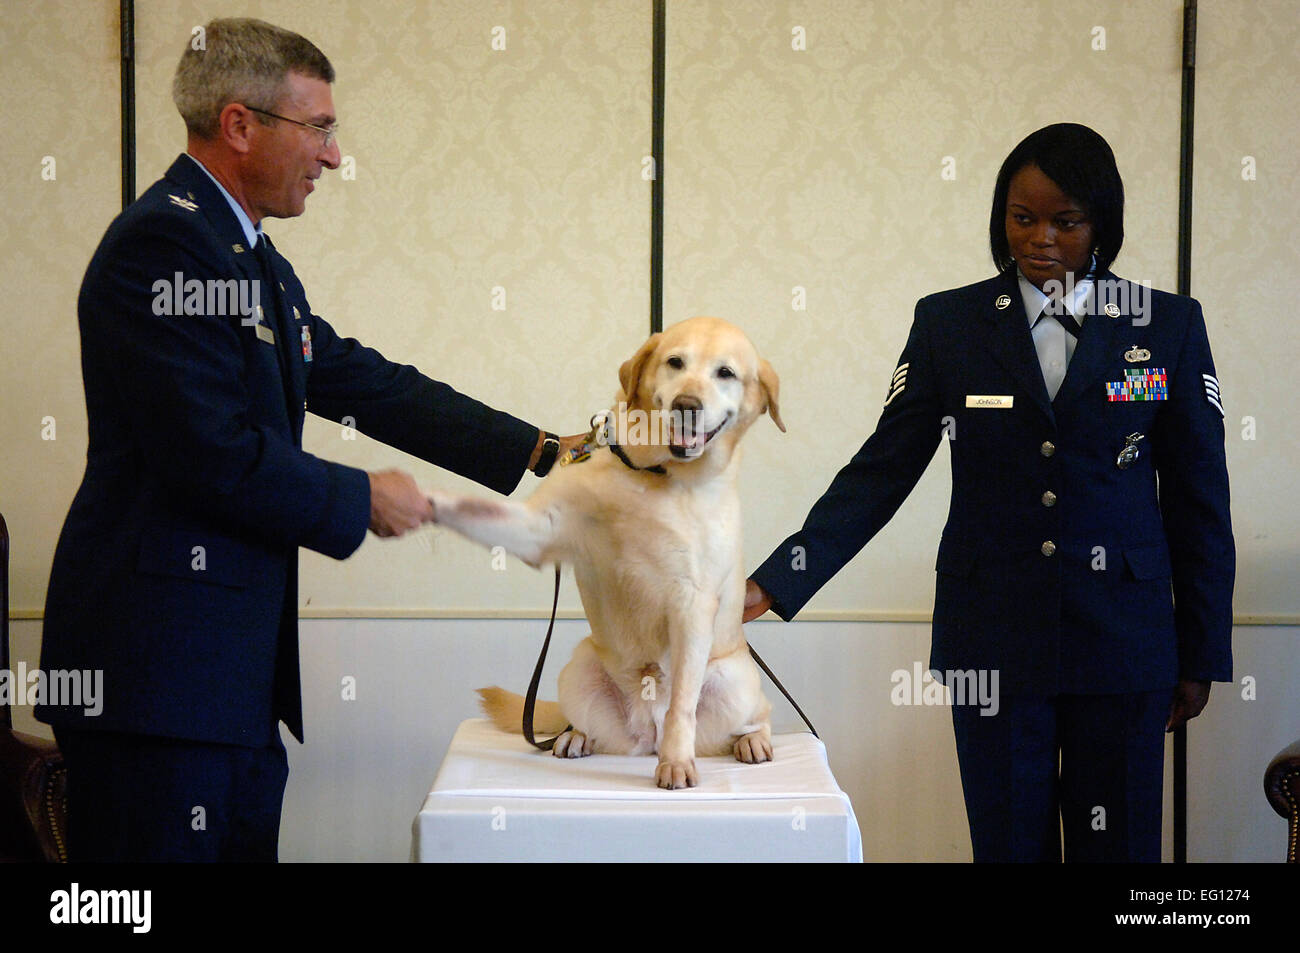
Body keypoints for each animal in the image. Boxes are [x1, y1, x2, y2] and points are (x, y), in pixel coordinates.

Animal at [428, 315, 780, 785]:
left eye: (725, 373)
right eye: (675, 362)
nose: (686, 404)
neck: (654, 473)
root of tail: (646, 731)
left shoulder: (692, 601)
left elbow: (682, 707)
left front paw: (676, 762)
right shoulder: (540, 528)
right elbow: (474, 510)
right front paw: (414, 498)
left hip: (735, 678)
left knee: (755, 716)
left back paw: (749, 742)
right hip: (578, 668)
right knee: (584, 724)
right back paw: (575, 738)